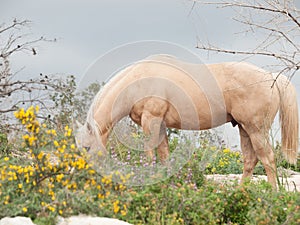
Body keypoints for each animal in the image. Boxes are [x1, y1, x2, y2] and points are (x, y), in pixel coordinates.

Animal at [75, 54, 298, 188]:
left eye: (87, 147)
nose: (82, 175)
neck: (138, 82)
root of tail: (272, 77)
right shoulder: (161, 125)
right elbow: (164, 156)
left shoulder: (151, 120)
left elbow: (149, 154)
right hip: (244, 128)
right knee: (251, 160)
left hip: (256, 129)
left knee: (268, 158)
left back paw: (272, 193)